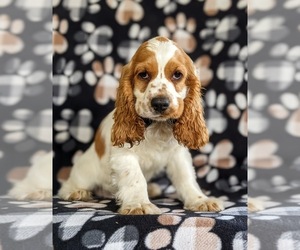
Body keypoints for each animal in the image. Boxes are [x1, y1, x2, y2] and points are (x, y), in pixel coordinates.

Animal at [58, 35, 224, 215]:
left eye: (177, 75)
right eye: (143, 74)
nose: (160, 103)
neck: (156, 126)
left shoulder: (178, 154)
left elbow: (186, 177)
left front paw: (200, 200)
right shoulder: (124, 154)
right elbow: (135, 178)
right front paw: (139, 204)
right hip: (85, 172)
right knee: (68, 186)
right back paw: (77, 192)